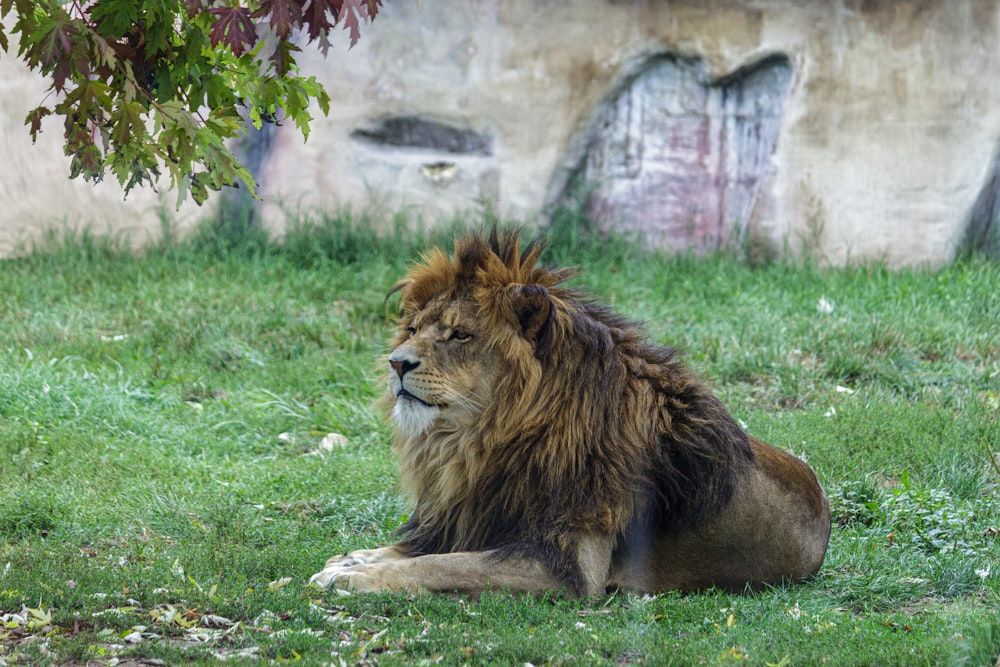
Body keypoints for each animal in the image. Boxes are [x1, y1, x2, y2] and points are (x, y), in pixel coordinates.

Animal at [310, 230, 828, 596]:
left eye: (460, 335)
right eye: (414, 329)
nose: (397, 363)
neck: (485, 438)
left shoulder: (569, 568)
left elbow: (441, 565)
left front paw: (354, 579)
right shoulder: (474, 514)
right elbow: (417, 551)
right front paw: (354, 560)